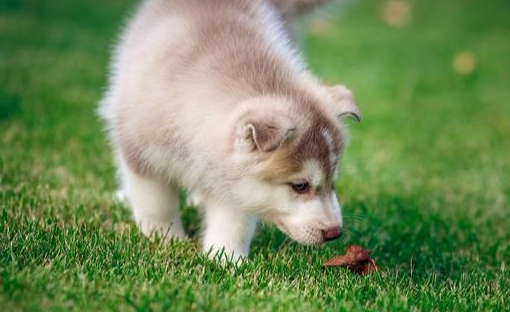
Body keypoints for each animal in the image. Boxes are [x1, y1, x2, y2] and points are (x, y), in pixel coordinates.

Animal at [99, 0, 360, 260]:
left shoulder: (234, 182)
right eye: (300, 186)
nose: (335, 232)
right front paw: (166, 238)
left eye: (333, 181)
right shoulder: (141, 152)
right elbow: (156, 204)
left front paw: (226, 258)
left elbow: (233, 222)